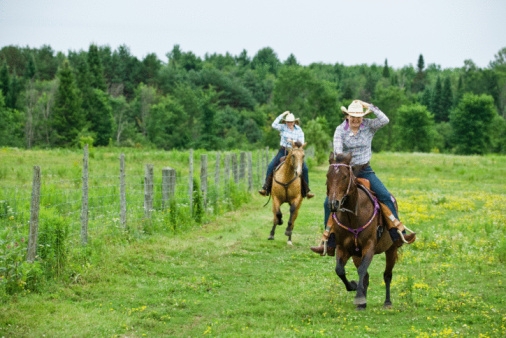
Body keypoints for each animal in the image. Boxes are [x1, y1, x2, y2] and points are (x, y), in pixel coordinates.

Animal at [328, 152, 400, 310]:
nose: (333, 203)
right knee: (366, 276)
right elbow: (340, 270)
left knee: (387, 275)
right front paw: (354, 287)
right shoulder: (343, 248)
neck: (353, 216)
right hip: (357, 254)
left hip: (391, 249)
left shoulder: (369, 246)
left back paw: (387, 302)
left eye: (345, 176)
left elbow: (361, 270)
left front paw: (359, 297)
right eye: (328, 175)